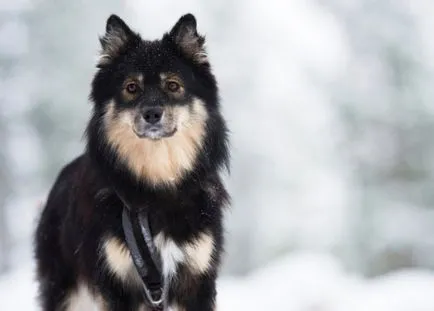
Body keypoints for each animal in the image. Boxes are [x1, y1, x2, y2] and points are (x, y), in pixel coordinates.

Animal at [34, 12, 227, 311]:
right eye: (132, 88)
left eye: (173, 85)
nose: (152, 114)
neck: (157, 188)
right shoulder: (118, 282)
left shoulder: (197, 278)